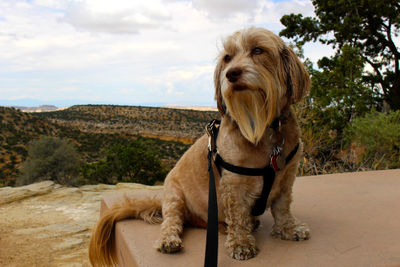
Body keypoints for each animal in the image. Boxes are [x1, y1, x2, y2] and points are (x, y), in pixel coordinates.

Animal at [89, 26, 310, 266]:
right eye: (227, 57)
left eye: (258, 50)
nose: (231, 74)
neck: (264, 129)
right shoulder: (233, 186)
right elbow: (238, 216)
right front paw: (241, 243)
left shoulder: (287, 178)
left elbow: (282, 207)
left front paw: (289, 229)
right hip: (174, 197)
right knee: (172, 222)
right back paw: (169, 240)